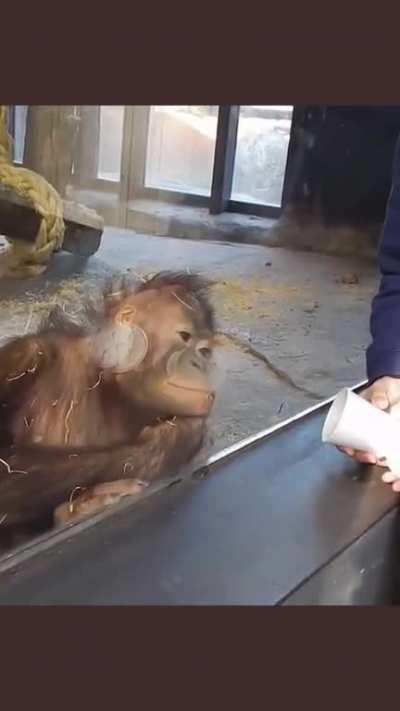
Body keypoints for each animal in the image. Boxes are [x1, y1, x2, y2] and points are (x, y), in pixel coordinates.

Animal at [0, 271, 217, 541]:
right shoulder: (24, 356)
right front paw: (173, 438)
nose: (199, 364)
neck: (105, 380)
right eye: (184, 336)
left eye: (205, 351)